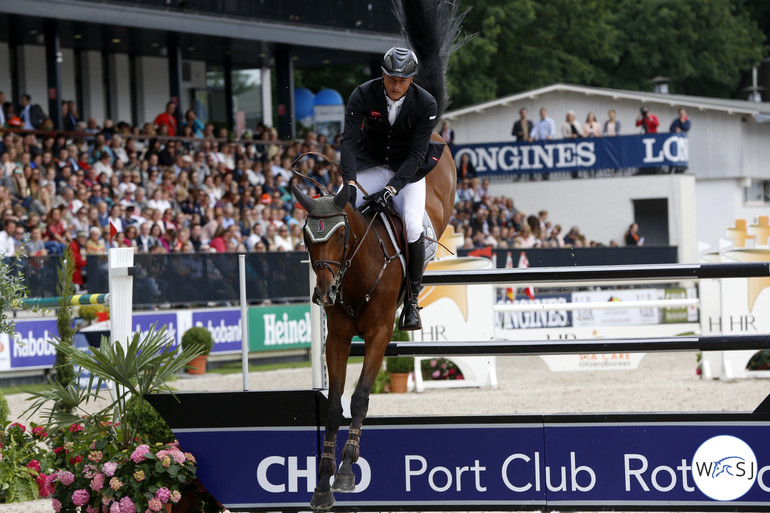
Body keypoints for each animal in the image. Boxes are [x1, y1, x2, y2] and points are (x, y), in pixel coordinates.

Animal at [292, 132, 452, 508]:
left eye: (340, 234)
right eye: (308, 237)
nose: (324, 293)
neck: (355, 274)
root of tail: (439, 136)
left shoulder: (378, 335)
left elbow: (359, 398)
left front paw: (347, 470)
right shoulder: (336, 339)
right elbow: (333, 407)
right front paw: (323, 484)